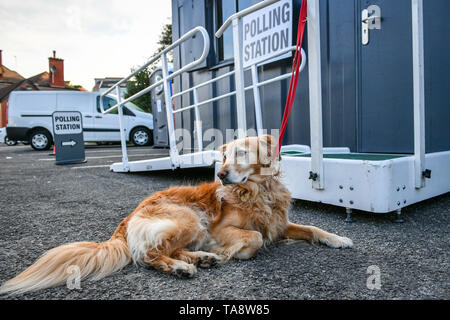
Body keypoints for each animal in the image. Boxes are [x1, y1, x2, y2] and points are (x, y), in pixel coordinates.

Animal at [0, 134, 352, 294]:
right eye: (224, 156)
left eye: (240, 153)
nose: (221, 174)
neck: (256, 192)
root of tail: (128, 218)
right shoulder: (221, 230)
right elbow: (252, 237)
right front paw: (233, 253)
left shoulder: (279, 224)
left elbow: (312, 228)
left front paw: (339, 239)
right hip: (191, 218)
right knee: (149, 255)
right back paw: (185, 267)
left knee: (166, 250)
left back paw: (200, 259)